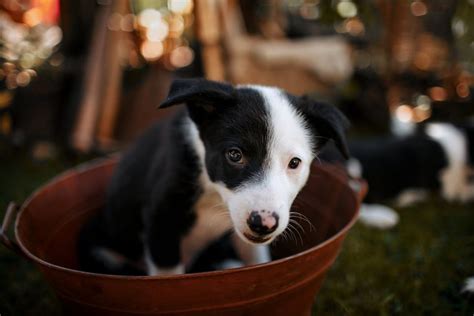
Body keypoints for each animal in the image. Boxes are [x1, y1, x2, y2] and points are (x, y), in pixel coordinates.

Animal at [78, 78, 350, 276]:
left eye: (294, 163)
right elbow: (168, 279)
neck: (214, 194)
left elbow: (257, 260)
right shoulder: (161, 221)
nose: (264, 223)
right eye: (234, 155)